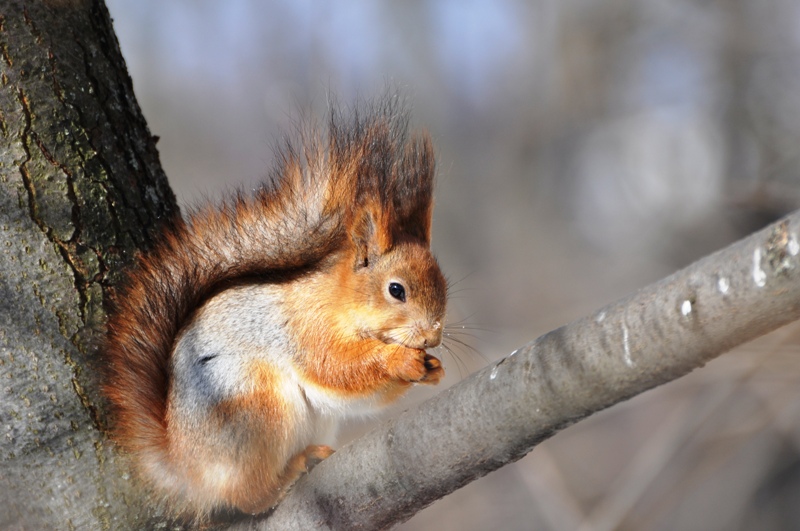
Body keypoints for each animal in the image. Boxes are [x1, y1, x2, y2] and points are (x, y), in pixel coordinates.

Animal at [101, 98, 446, 520]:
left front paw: (432, 368)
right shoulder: (306, 327)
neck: (341, 301)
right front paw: (400, 360)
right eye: (396, 290)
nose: (433, 335)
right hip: (255, 407)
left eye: (443, 284)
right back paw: (289, 473)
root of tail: (185, 469)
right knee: (246, 496)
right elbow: (335, 367)